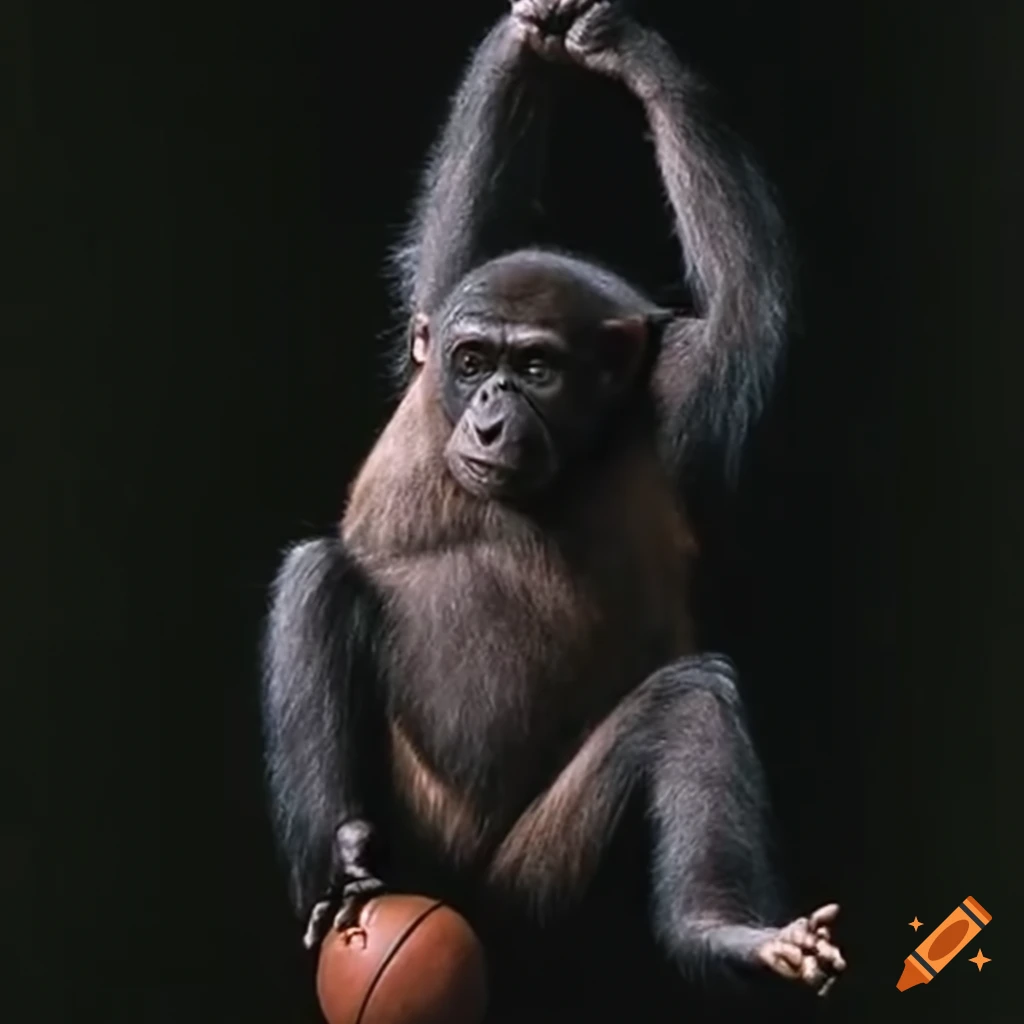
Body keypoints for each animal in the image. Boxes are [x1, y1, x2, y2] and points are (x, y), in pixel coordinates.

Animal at [261, 2, 846, 1020]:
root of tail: (468, 888)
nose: (491, 415)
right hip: (427, 830)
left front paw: (616, 47)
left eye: (534, 367)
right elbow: (451, 248)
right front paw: (530, 35)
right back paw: (343, 862)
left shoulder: (688, 386)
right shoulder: (427, 349)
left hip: (543, 871)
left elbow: (747, 294)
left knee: (689, 708)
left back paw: (725, 931)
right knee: (316, 579)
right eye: (472, 362)